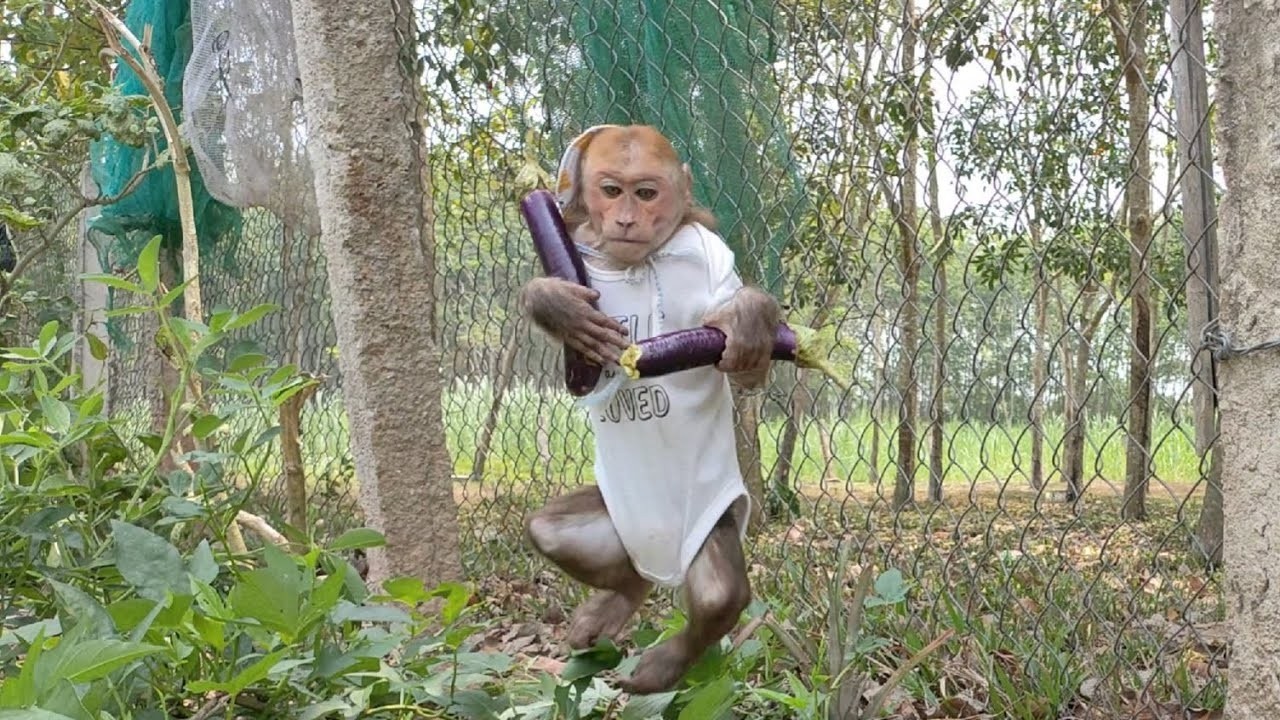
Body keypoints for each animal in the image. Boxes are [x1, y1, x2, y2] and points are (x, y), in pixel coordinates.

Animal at [518, 124, 781, 694]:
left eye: (646, 193)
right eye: (610, 190)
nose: (624, 218)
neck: (632, 262)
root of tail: (660, 565)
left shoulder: (707, 251)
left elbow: (745, 361)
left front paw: (752, 319)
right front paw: (553, 303)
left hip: (714, 521)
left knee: (718, 594)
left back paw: (661, 663)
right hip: (615, 520)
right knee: (552, 532)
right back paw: (622, 597)